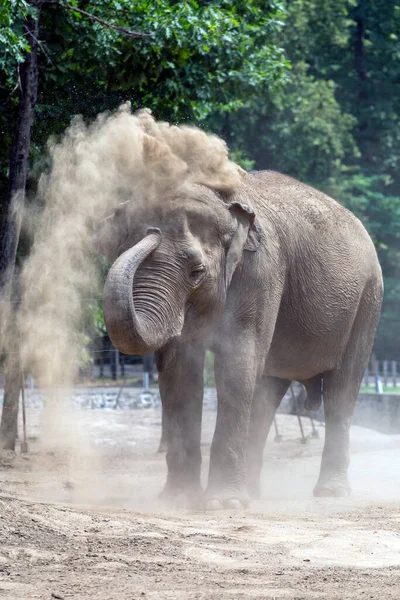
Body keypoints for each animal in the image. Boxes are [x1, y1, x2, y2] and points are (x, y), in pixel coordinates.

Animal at [101, 171, 382, 508]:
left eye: (196, 271)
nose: (152, 231)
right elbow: (181, 374)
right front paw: (179, 500)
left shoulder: (262, 271)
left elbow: (236, 364)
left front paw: (223, 504)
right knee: (269, 390)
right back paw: (254, 492)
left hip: (368, 301)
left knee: (343, 388)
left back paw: (330, 493)